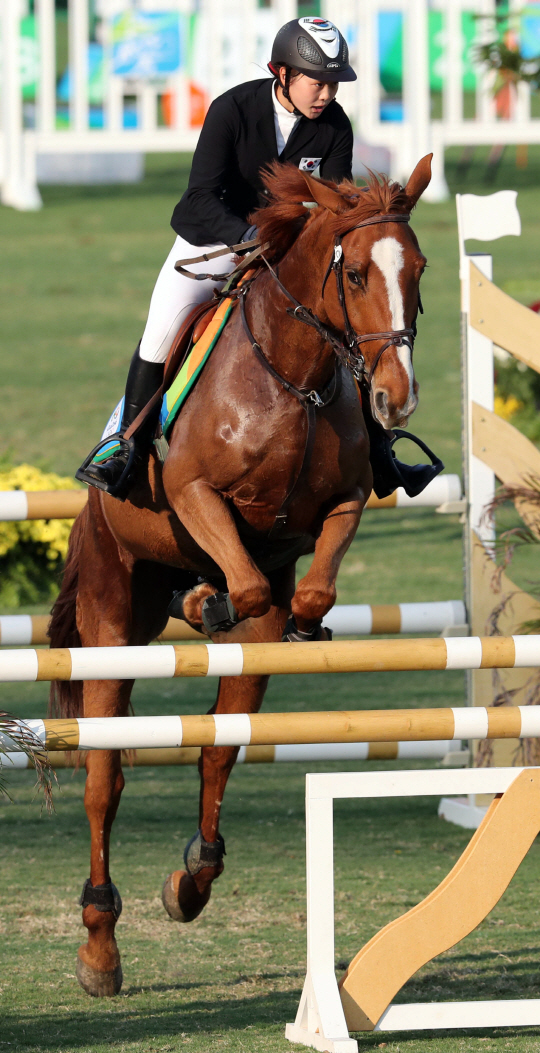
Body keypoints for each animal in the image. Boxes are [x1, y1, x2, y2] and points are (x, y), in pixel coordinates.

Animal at [48, 152, 431, 989]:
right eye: (356, 272)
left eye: (417, 269)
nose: (395, 399)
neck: (294, 379)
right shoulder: (194, 493)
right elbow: (246, 575)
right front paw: (213, 598)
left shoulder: (344, 504)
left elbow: (306, 584)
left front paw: (301, 620)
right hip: (112, 617)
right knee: (104, 779)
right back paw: (99, 945)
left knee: (219, 744)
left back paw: (191, 879)